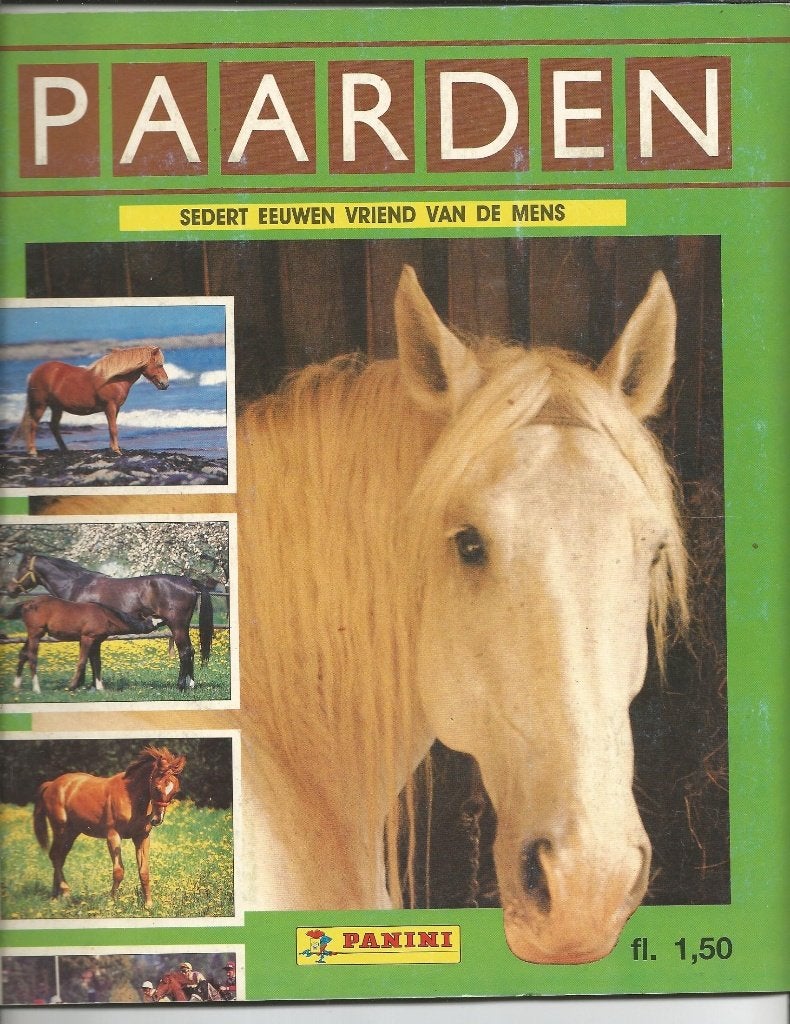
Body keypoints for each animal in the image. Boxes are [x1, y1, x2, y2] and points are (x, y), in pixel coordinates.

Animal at [12, 595, 156, 694]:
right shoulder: (87, 638)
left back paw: (16, 686)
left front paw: (100, 688)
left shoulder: (96, 642)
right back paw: (36, 689)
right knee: (32, 658)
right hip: (35, 635)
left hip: (31, 636)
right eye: (152, 616)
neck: (104, 615)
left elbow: (97, 664)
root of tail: (27, 602)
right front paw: (71, 686)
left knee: (23, 654)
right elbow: (82, 663)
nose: (159, 624)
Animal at [19, 344, 169, 456]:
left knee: (53, 426)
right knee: (33, 424)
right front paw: (116, 451)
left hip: (56, 407)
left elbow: (112, 427)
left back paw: (65, 450)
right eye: (159, 365)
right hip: (40, 405)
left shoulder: (116, 408)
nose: (165, 384)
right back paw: (33, 451)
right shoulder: (110, 406)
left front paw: (113, 448)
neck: (114, 379)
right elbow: (113, 428)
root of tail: (36, 372)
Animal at [33, 746, 185, 908]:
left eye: (175, 791)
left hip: (71, 833)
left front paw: (148, 904)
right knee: (55, 856)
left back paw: (56, 896)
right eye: (157, 788)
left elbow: (144, 871)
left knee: (59, 857)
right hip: (60, 830)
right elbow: (118, 871)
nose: (156, 820)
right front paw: (111, 902)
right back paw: (64, 892)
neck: (130, 797)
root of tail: (51, 784)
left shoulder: (141, 837)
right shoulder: (113, 836)